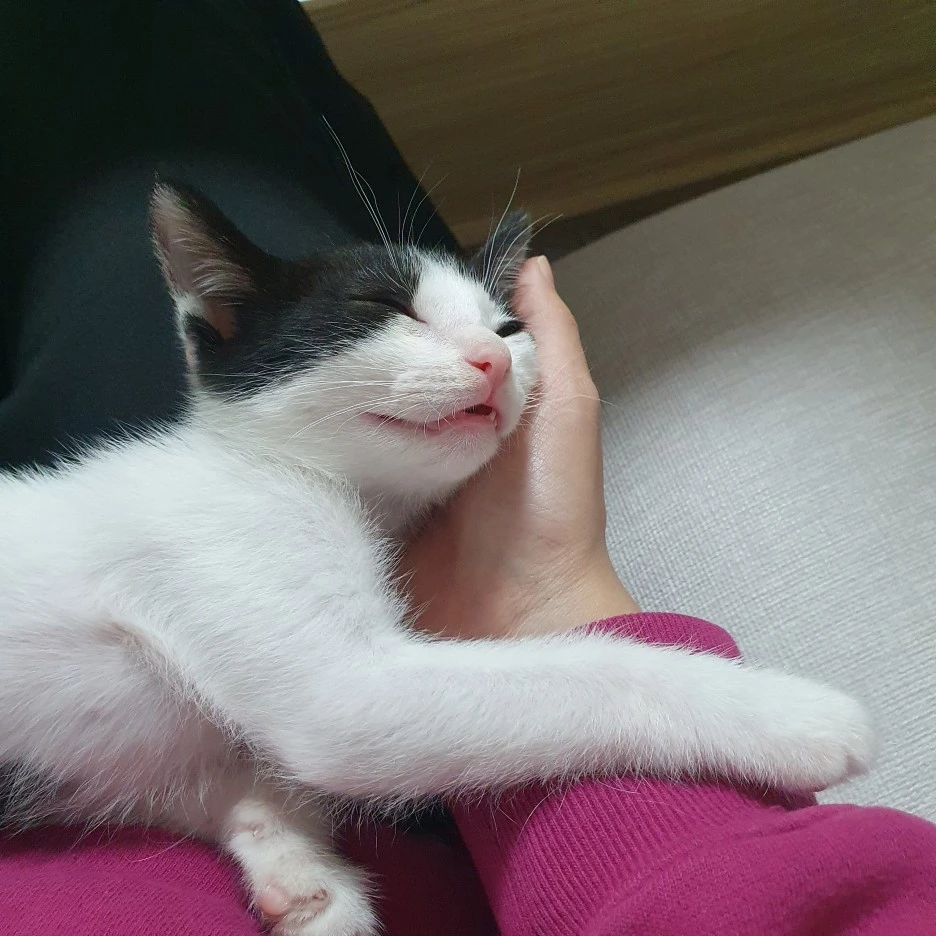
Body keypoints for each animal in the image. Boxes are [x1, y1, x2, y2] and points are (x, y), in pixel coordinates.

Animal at [0, 180, 874, 935]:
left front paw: (303, 877)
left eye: (510, 328)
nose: (495, 358)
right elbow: (587, 671)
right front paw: (788, 714)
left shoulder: (139, 760)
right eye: (385, 307)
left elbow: (233, 779)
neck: (286, 470)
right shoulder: (287, 624)